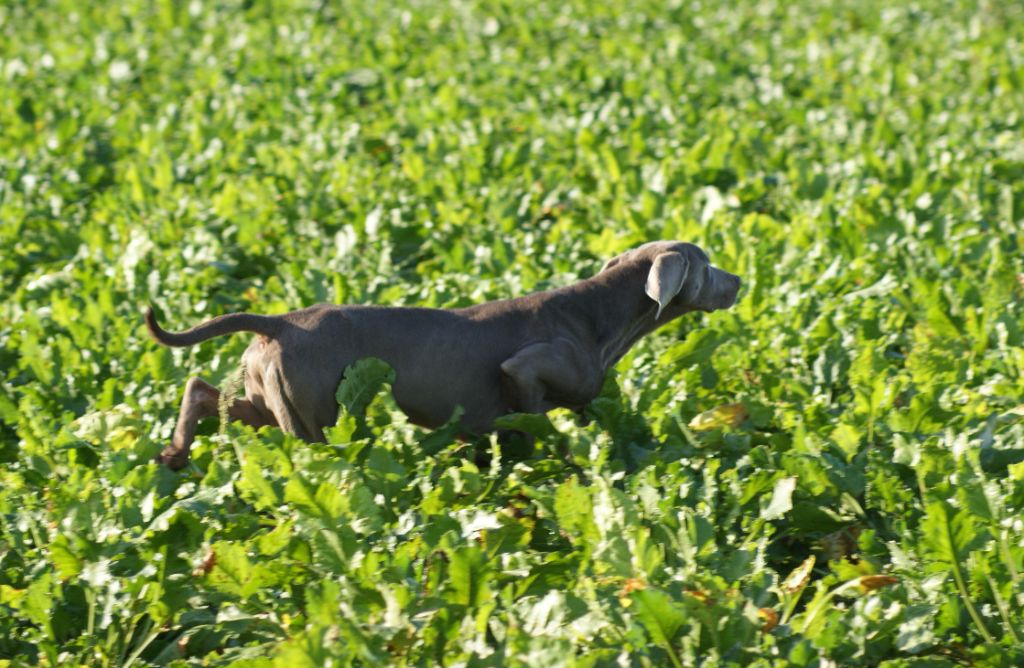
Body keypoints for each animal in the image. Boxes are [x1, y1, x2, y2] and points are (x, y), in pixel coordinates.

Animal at [146, 241, 737, 469]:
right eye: (708, 265)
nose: (739, 282)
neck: (597, 314)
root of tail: (278, 322)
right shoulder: (522, 371)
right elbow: (535, 422)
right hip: (313, 419)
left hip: (269, 401)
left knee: (201, 391)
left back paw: (173, 454)